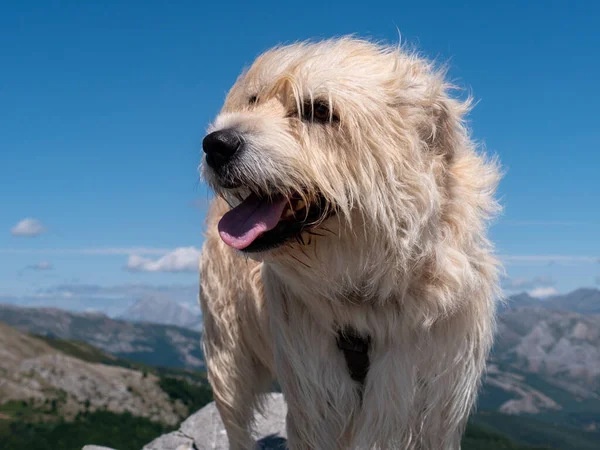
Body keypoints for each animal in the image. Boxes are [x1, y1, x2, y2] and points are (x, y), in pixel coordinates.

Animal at [198, 36, 502, 450]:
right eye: (253, 101)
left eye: (319, 111)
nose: (215, 144)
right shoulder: (317, 399)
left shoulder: (432, 403)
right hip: (228, 355)